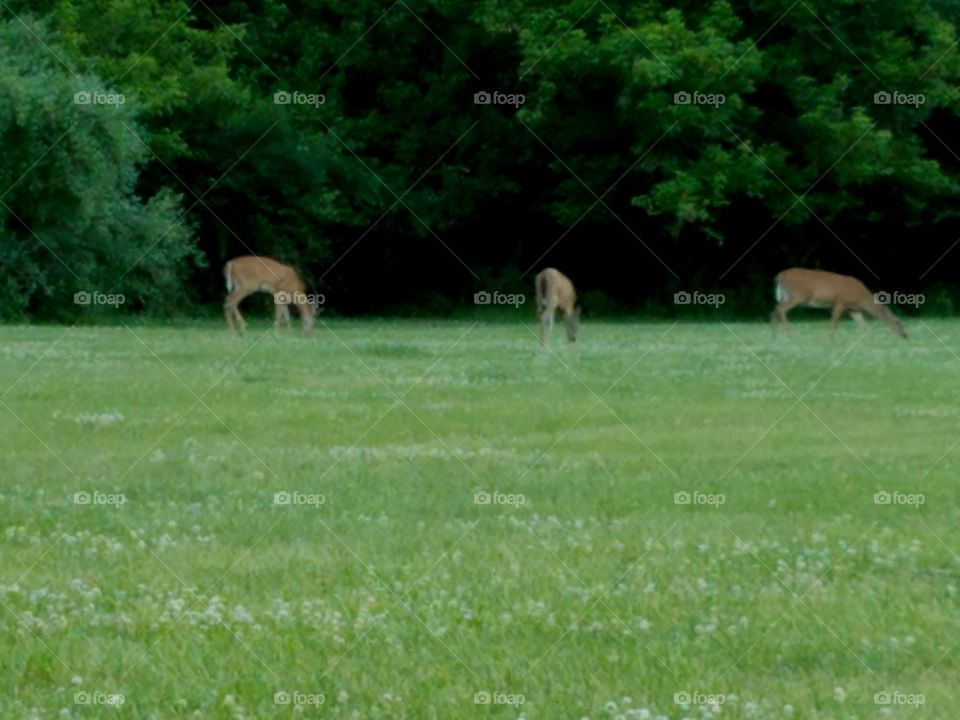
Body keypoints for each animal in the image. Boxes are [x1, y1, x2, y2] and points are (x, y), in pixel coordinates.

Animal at [770, 268, 907, 339]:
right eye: (897, 321)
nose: (905, 335)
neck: (861, 297)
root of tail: (780, 275)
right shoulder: (840, 301)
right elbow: (835, 321)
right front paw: (830, 338)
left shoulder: (854, 309)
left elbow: (863, 325)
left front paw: (867, 340)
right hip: (799, 295)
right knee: (780, 309)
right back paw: (789, 334)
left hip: (786, 296)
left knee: (775, 310)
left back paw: (775, 337)